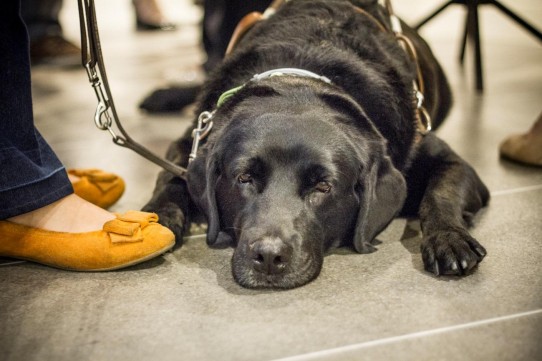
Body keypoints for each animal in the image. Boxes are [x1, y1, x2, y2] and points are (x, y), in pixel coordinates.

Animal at [142, 0, 490, 286]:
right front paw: (157, 217)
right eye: (244, 178)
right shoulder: (193, 141)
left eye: (323, 186)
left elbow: (440, 193)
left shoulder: (447, 159)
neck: (299, 79)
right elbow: (169, 177)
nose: (269, 257)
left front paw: (448, 239)